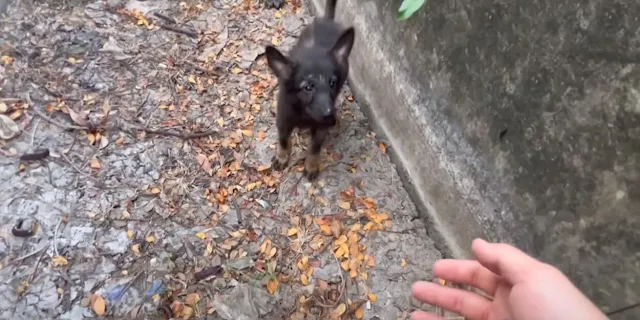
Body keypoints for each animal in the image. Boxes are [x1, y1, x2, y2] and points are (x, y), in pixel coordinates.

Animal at [264, 0, 356, 180]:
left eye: (332, 83)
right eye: (307, 87)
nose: (330, 117)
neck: (303, 113)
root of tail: (327, 20)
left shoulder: (320, 128)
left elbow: (314, 148)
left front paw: (311, 166)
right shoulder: (283, 121)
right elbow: (283, 141)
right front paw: (282, 157)